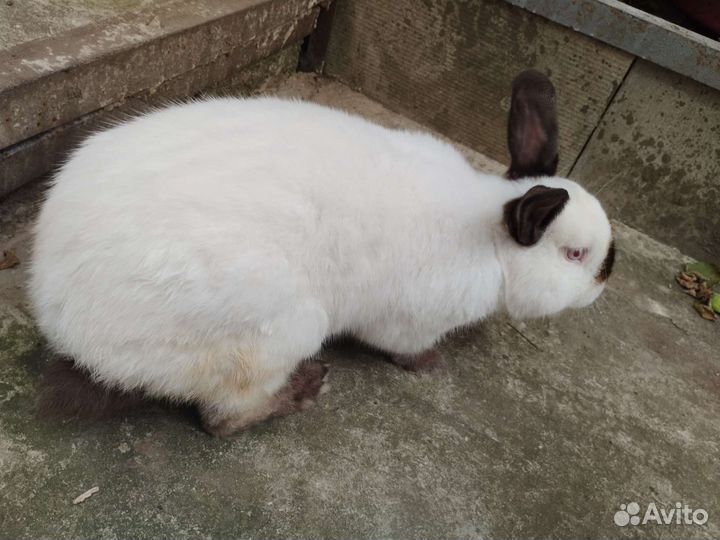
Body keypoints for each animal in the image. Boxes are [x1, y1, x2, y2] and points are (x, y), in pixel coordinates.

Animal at [30, 70, 615, 436]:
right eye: (576, 255)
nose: (605, 281)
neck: (489, 236)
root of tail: (68, 325)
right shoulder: (408, 320)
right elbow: (403, 347)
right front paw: (430, 365)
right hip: (280, 331)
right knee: (222, 419)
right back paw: (306, 389)